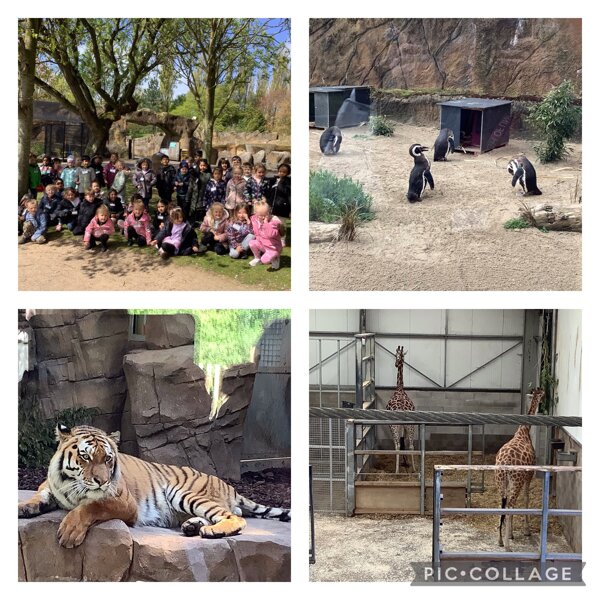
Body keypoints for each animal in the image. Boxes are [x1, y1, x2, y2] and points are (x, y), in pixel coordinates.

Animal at [18, 422, 290, 548]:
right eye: (85, 457)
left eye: (107, 459)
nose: (101, 481)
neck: (71, 485)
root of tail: (229, 486)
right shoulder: (50, 486)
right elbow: (38, 496)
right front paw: (24, 507)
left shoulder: (123, 502)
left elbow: (90, 507)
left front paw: (70, 531)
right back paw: (192, 526)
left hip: (183, 492)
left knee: (235, 517)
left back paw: (212, 531)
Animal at [494, 386, 548, 552]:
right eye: (541, 393)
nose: (544, 396)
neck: (524, 431)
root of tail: (504, 462)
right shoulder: (529, 474)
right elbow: (526, 498)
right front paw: (526, 531)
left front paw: (511, 534)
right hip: (516, 481)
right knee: (510, 505)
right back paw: (507, 546)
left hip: (500, 481)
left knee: (502, 505)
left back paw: (500, 540)